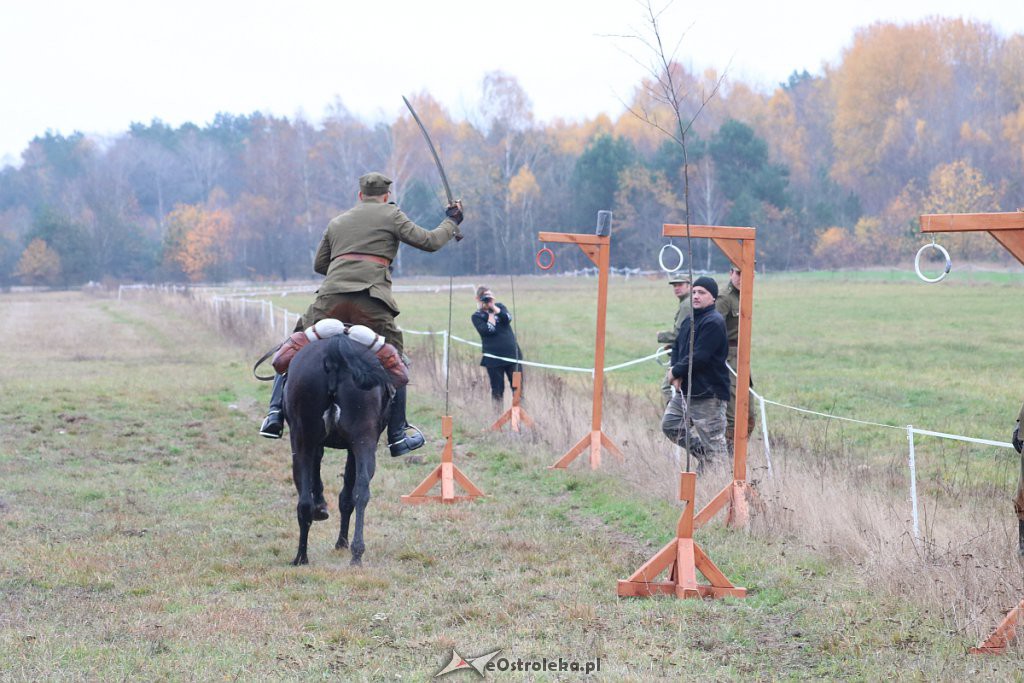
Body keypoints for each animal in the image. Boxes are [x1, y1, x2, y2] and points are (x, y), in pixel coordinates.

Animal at [286, 331, 393, 565]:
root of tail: (335, 349)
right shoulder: (352, 447)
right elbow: (346, 496)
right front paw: (341, 541)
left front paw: (322, 509)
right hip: (363, 441)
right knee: (361, 491)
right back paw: (356, 553)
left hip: (303, 442)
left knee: (305, 500)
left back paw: (302, 556)